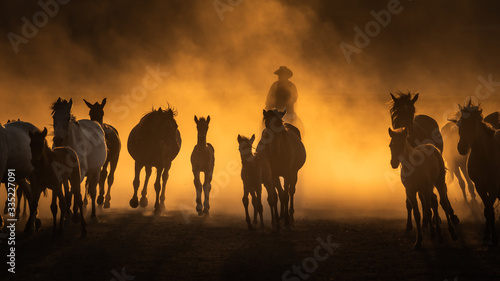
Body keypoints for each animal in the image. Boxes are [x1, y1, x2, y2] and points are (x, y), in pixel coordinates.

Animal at [388, 91, 440, 230]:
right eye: (395, 111)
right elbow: (409, 201)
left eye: (411, 111)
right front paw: (409, 225)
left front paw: (427, 221)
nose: (401, 132)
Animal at [456, 101, 500, 245]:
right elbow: (487, 211)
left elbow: (490, 209)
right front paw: (487, 235)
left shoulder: (493, 187)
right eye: (460, 122)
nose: (462, 147)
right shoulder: (480, 187)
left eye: (474, 123)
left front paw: (494, 237)